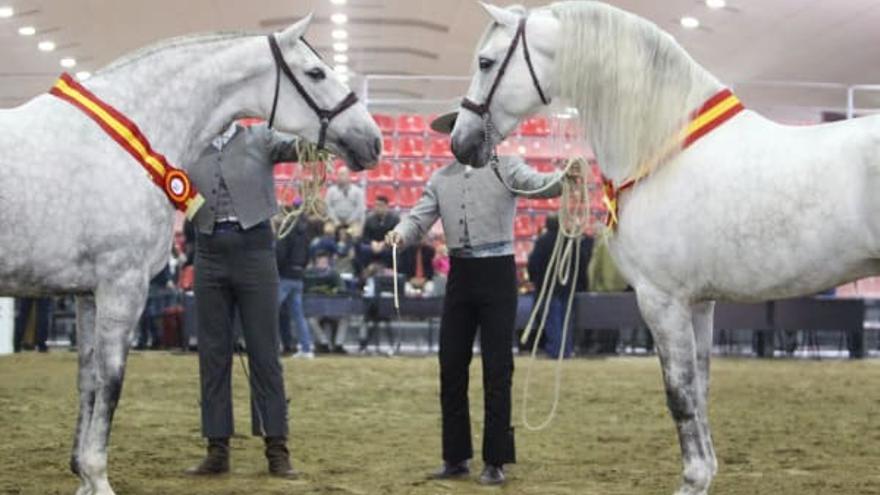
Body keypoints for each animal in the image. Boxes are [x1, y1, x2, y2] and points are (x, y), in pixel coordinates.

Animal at [1, 13, 384, 494]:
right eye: (316, 73)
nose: (374, 140)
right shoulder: (121, 286)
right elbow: (111, 379)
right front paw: (97, 474)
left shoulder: (88, 293)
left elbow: (87, 379)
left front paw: (83, 477)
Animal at [454, 1, 880, 494]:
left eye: (486, 62)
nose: (460, 142)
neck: (663, 150)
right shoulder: (698, 303)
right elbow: (699, 388)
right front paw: (706, 473)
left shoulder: (662, 300)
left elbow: (678, 393)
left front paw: (692, 479)